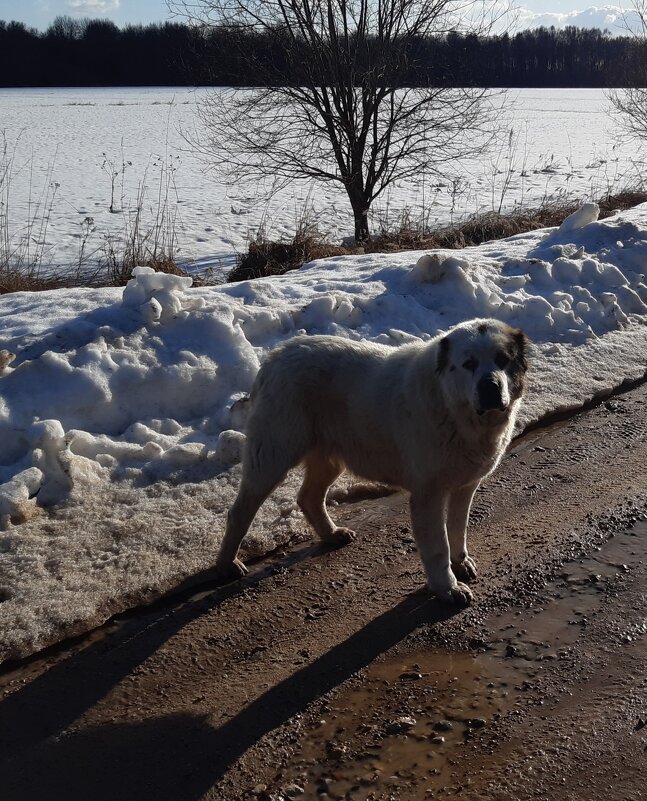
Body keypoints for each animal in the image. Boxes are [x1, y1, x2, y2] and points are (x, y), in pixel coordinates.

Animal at [215, 316, 528, 604]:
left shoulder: (465, 485)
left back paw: (331, 534)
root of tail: (275, 357)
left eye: (503, 360)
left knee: (309, 497)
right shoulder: (429, 493)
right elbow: (438, 546)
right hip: (273, 455)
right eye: (468, 363)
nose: (490, 387)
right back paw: (226, 565)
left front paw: (460, 562)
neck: (454, 409)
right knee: (240, 512)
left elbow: (457, 528)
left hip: (329, 458)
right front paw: (448, 588)